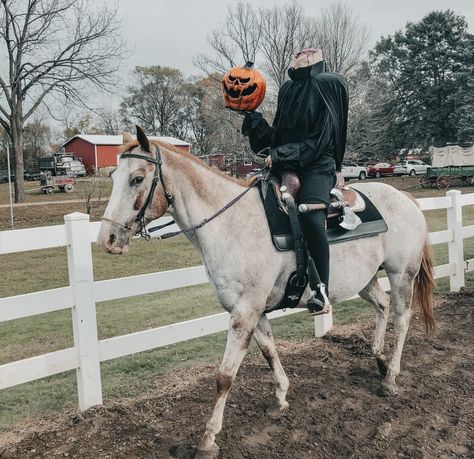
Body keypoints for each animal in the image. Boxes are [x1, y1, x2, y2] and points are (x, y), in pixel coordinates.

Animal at [98, 127, 436, 458]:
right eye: (113, 177)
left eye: (137, 178)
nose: (107, 239)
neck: (230, 225)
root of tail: (405, 198)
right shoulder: (254, 310)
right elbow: (269, 351)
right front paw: (281, 398)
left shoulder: (244, 312)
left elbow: (225, 376)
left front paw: (208, 439)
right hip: (365, 280)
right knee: (382, 305)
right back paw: (379, 359)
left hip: (402, 275)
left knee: (402, 319)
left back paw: (390, 378)